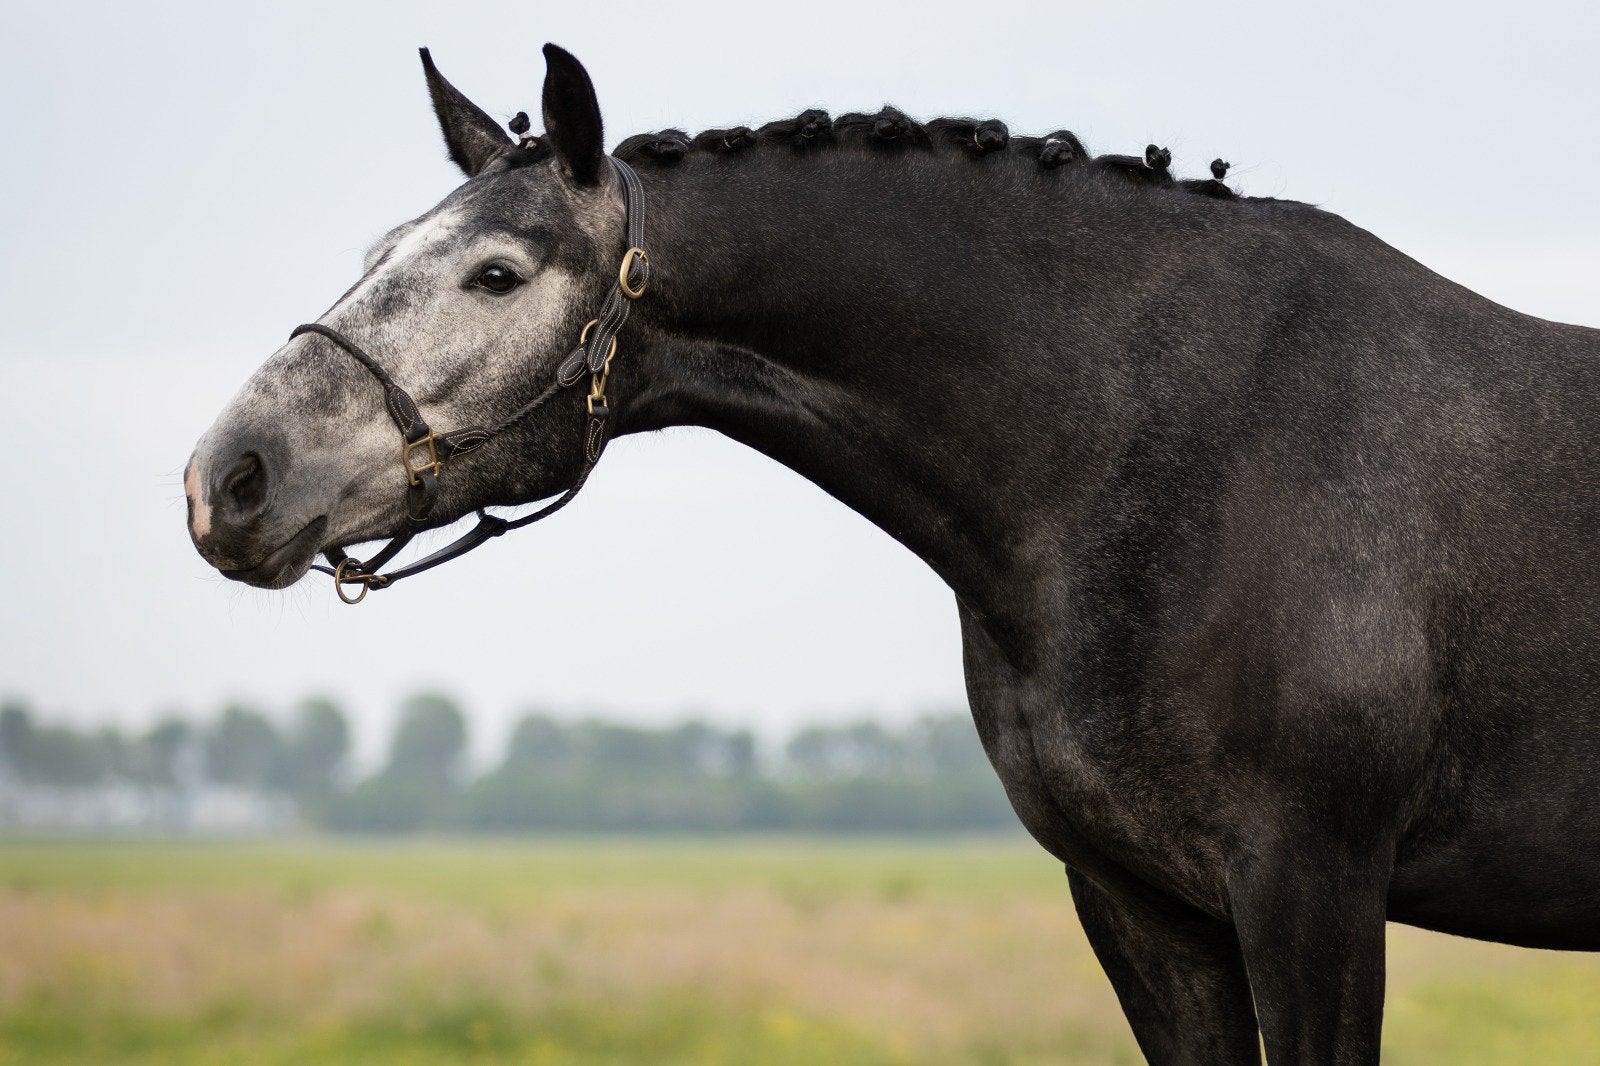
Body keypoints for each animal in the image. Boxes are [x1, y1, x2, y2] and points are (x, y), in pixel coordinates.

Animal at [185, 44, 1600, 1065]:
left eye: (494, 273)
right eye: (377, 253)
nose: (226, 480)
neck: (1177, 438)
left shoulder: (1313, 894)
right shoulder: (1144, 907)